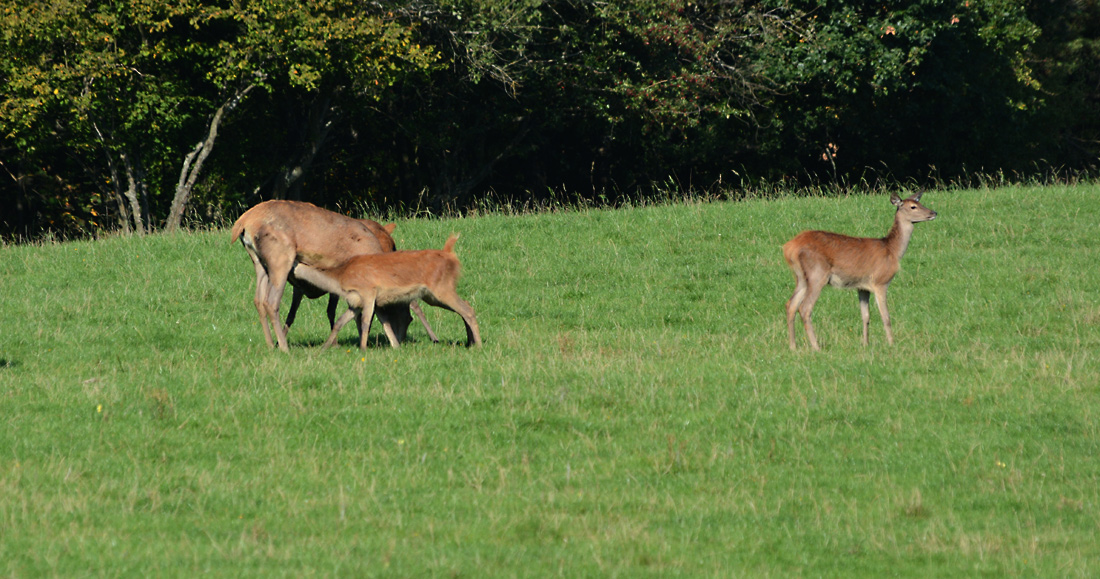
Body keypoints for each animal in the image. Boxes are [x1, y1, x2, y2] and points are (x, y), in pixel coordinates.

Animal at [292, 234, 481, 352]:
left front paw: (363, 348)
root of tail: (450, 254)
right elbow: (341, 321)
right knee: (466, 307)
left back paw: (478, 345)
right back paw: (469, 342)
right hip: (433, 295)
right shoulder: (355, 302)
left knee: (468, 310)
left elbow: (366, 322)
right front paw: (324, 348)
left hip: (441, 288)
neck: (340, 278)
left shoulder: (368, 292)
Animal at [783, 192, 937, 352]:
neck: (892, 250)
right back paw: (816, 347)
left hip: (801, 277)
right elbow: (886, 316)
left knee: (791, 305)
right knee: (805, 308)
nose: (934, 213)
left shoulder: (863, 287)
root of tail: (789, 248)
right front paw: (891, 344)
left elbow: (865, 316)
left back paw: (793, 346)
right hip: (817, 274)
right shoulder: (880, 282)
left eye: (920, 203)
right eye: (913, 206)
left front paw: (865, 344)